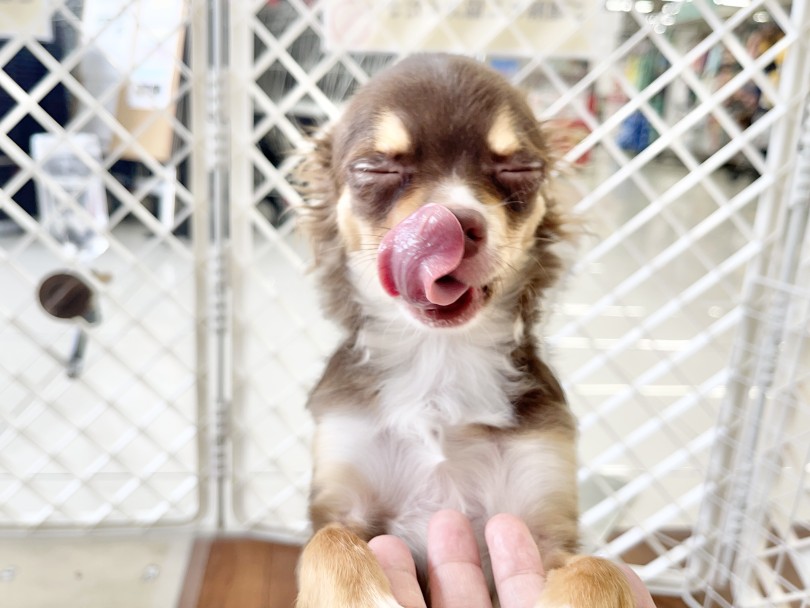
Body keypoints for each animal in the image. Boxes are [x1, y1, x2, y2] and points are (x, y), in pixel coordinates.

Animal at [290, 53, 632, 608]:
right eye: (374, 168)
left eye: (522, 169)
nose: (450, 223)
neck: (440, 358)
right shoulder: (343, 507)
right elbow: (330, 541)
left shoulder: (546, 531)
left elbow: (600, 567)